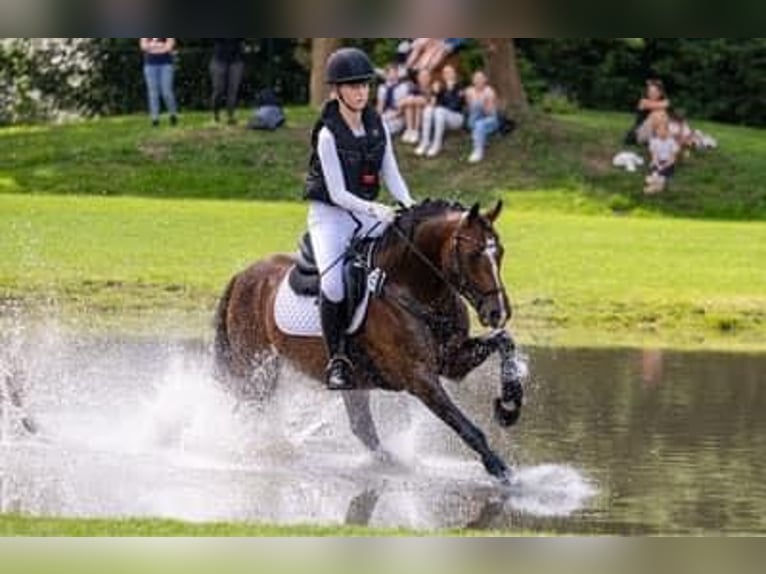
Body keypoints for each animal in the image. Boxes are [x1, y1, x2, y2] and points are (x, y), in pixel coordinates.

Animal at [216, 200, 528, 484]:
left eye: (500, 252)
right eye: (474, 255)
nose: (498, 312)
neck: (412, 289)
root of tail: (243, 275)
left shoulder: (453, 362)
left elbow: (504, 341)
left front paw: (508, 407)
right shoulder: (419, 378)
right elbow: (465, 426)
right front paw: (499, 468)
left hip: (345, 381)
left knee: (361, 427)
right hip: (257, 369)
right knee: (253, 412)